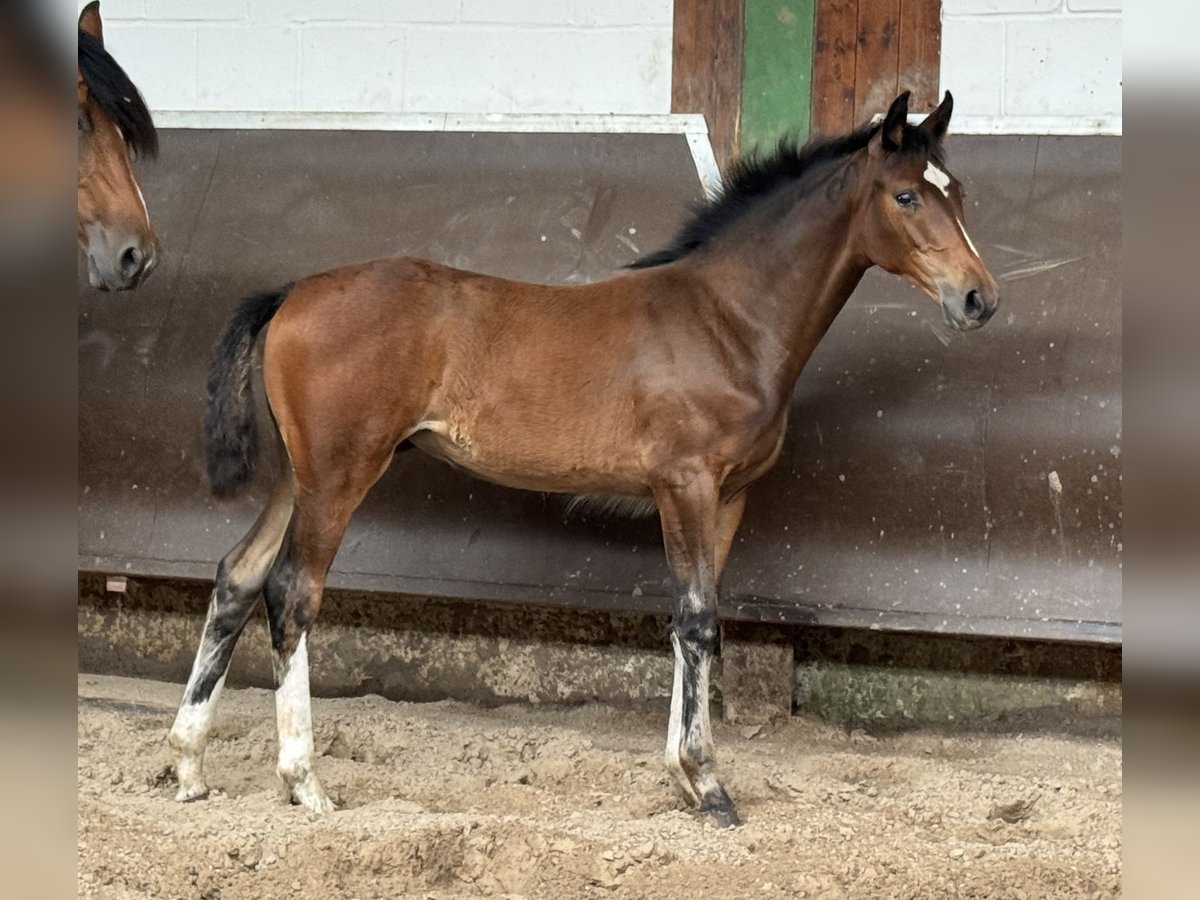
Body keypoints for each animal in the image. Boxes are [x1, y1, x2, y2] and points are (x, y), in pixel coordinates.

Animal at [169, 93, 993, 830]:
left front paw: (684, 780)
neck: (725, 320)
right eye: (907, 195)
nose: (978, 299)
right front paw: (709, 787)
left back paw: (188, 765)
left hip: (296, 478)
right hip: (340, 476)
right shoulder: (684, 485)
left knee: (238, 577)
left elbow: (690, 618)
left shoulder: (727, 497)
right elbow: (699, 620)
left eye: (960, 194)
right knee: (292, 591)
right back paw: (304, 784)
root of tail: (292, 293)